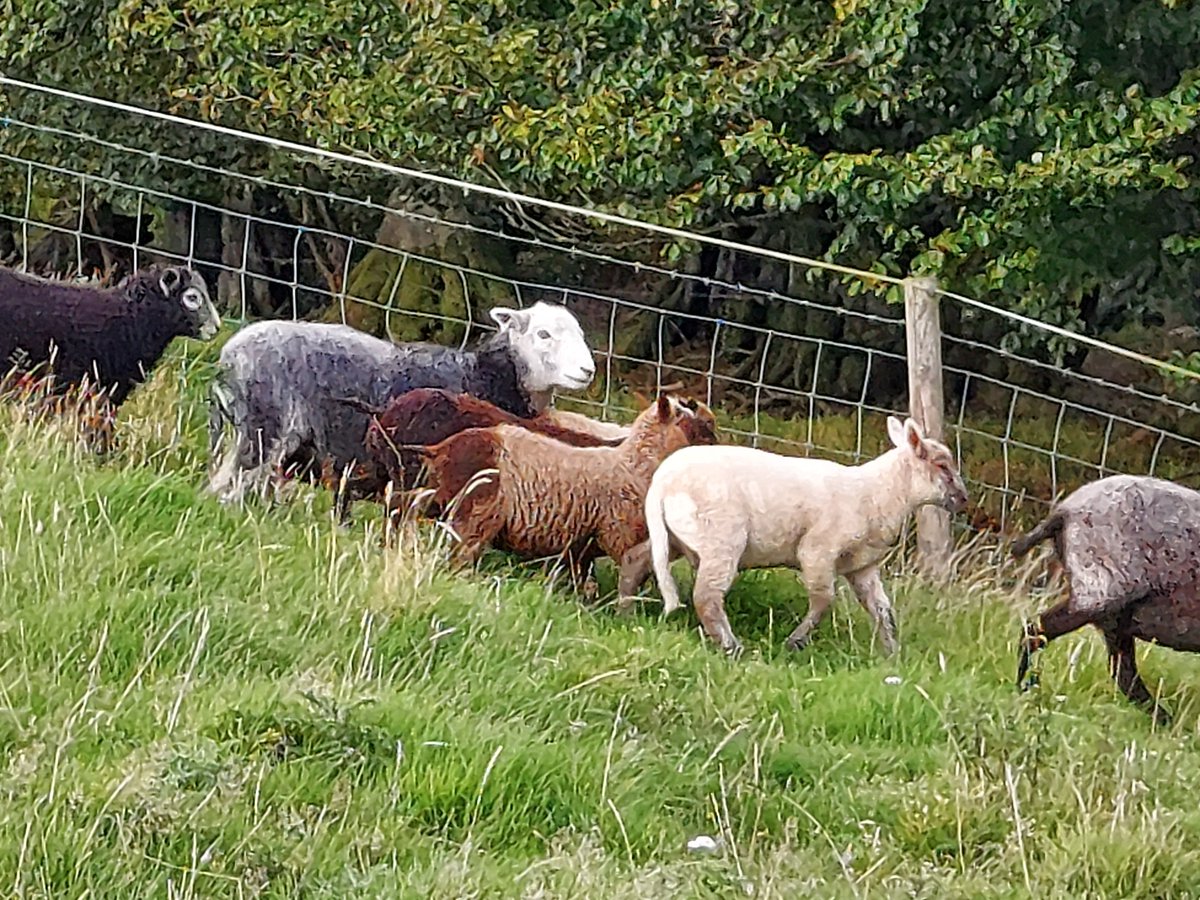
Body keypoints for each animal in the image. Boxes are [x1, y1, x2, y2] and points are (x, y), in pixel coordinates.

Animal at [207, 301, 597, 513]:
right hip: (264, 428)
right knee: (228, 485)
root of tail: (229, 355)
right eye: (543, 334)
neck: (486, 375)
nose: (587, 370)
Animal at [420, 394, 718, 593]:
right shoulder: (618, 539)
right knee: (458, 556)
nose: (716, 448)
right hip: (472, 516)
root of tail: (438, 450)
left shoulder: (580, 545)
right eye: (694, 424)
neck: (634, 465)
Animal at [643, 416, 968, 656]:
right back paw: (731, 647)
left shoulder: (862, 566)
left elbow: (882, 610)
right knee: (707, 597)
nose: (963, 499)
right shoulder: (818, 551)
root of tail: (661, 484)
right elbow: (824, 599)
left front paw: (893, 655)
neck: (877, 492)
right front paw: (795, 642)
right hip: (721, 537)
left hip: (677, 538)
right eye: (942, 465)